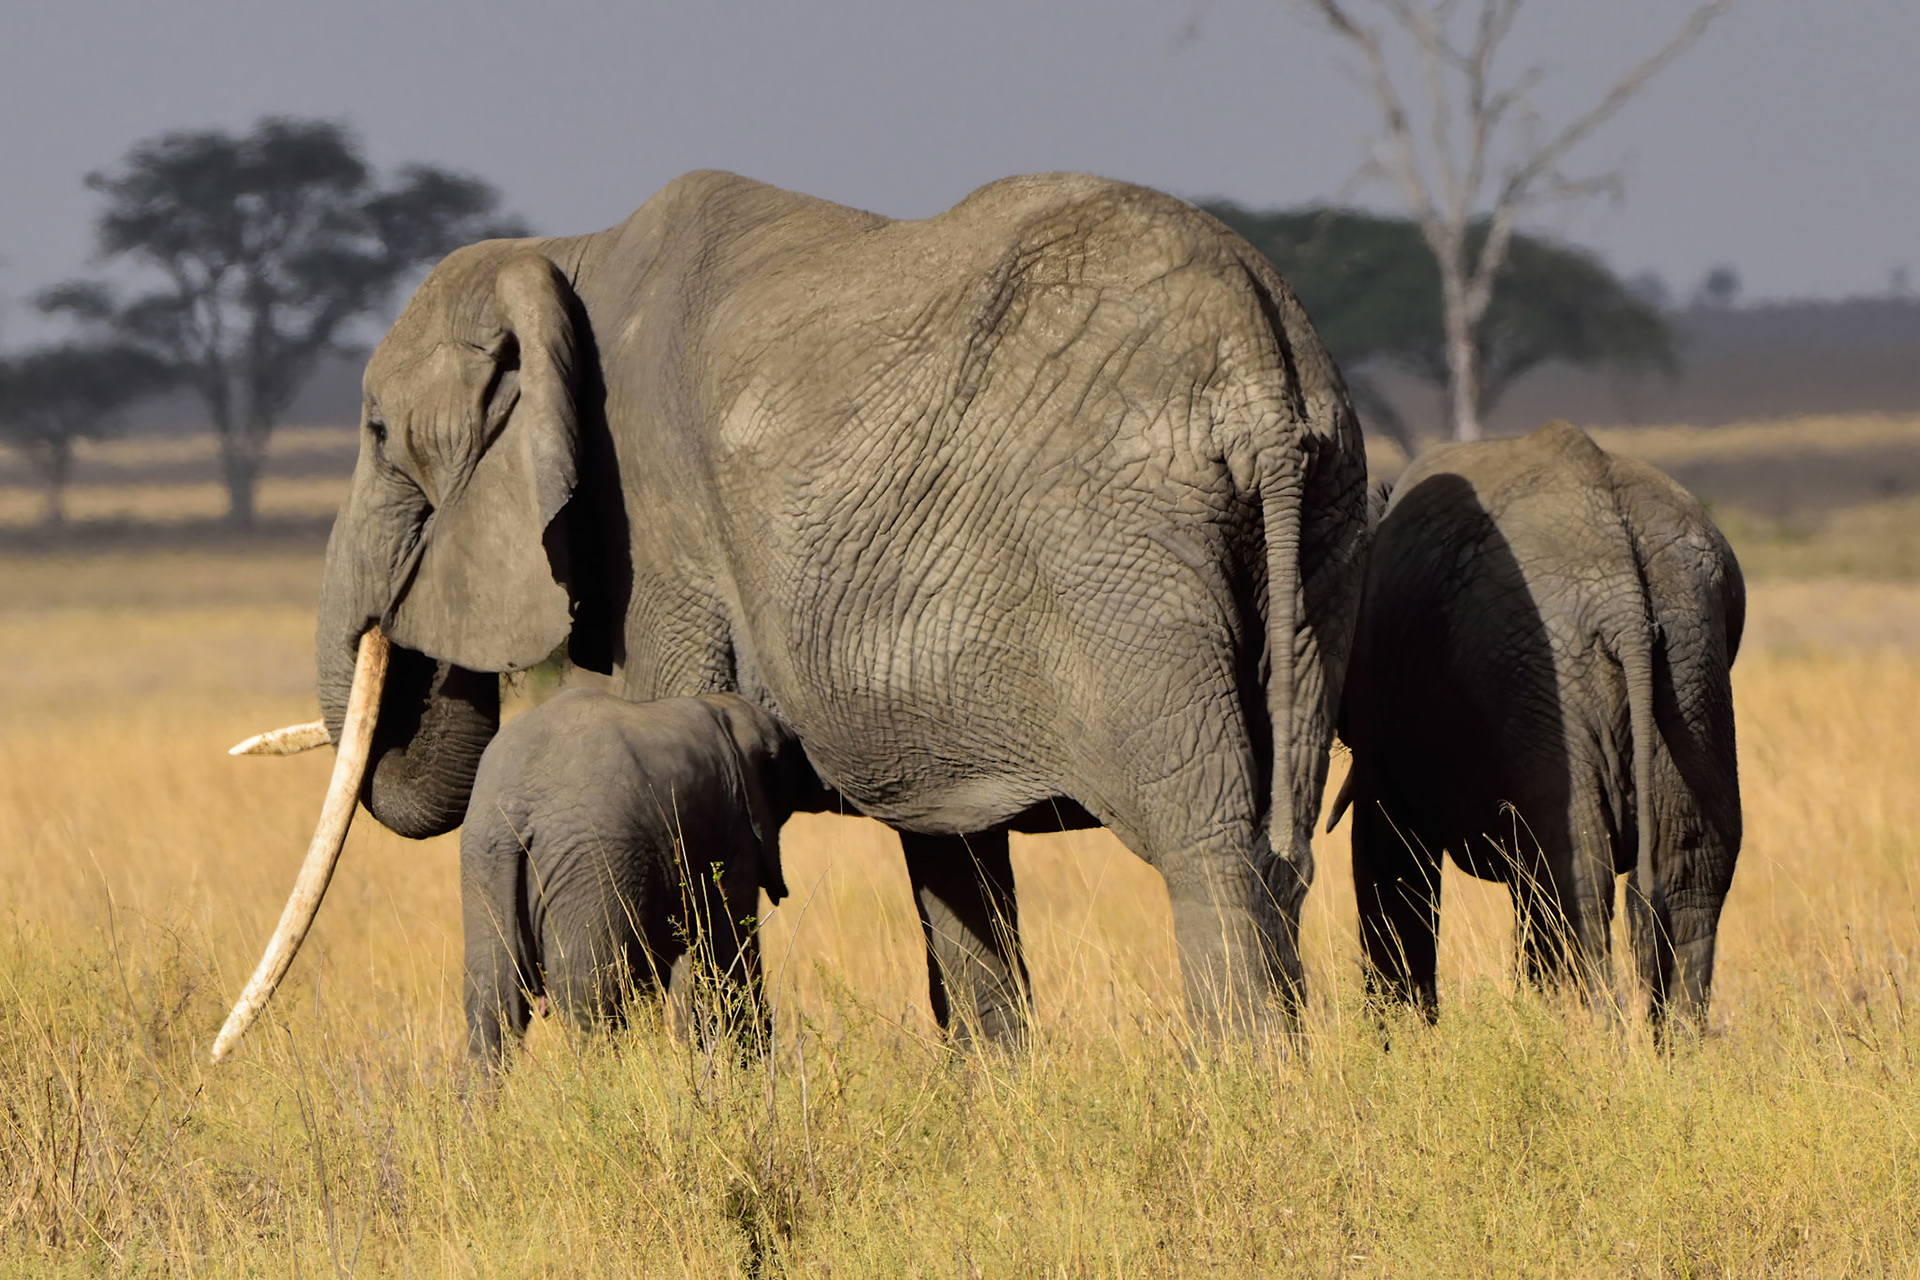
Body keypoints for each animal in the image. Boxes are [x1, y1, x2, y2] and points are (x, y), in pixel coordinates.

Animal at [461, 688, 827, 1067]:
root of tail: (515, 813)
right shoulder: (734, 834)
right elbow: (727, 954)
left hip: (484, 862)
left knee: (492, 1003)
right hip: (593, 864)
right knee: (592, 998)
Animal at [1331, 420, 1744, 1033]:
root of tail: (1623, 597)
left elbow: (1387, 853)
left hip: (1551, 678)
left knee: (1573, 875)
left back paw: (1583, 1038)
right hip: (1690, 667)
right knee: (1687, 876)